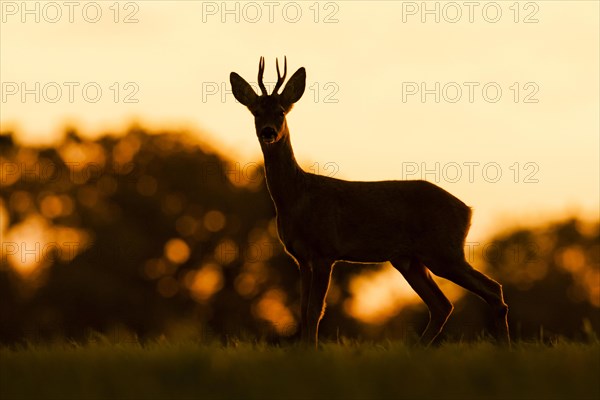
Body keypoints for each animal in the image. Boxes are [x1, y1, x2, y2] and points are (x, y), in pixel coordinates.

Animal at [230, 56, 510, 346]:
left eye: (281, 112)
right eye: (256, 112)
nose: (268, 132)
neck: (296, 198)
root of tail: (468, 210)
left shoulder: (325, 251)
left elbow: (315, 310)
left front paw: (312, 351)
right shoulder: (301, 256)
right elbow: (303, 310)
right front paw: (304, 350)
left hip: (444, 250)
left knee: (492, 289)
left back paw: (504, 348)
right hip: (410, 260)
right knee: (442, 305)